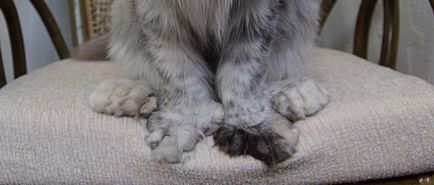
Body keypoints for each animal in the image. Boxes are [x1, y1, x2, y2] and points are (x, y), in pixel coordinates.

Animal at [85, 0, 328, 166]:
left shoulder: (256, 14)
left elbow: (244, 75)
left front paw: (251, 125)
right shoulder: (158, 15)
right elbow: (178, 73)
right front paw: (182, 124)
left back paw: (296, 93)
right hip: (123, 18)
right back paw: (125, 94)